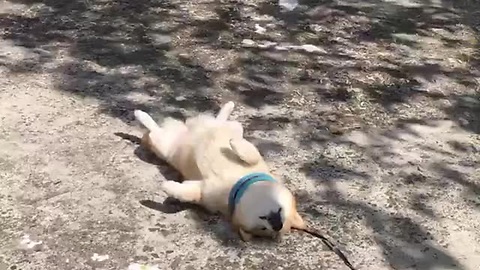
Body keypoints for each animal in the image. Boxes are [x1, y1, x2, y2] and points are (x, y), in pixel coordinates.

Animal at [134, 101, 308, 240]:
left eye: (263, 228)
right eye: (281, 212)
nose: (278, 225)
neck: (236, 184)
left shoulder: (204, 193)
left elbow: (187, 193)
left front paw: (168, 187)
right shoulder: (255, 162)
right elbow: (250, 154)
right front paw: (234, 144)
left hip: (164, 146)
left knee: (155, 130)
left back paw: (142, 116)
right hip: (229, 127)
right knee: (224, 123)